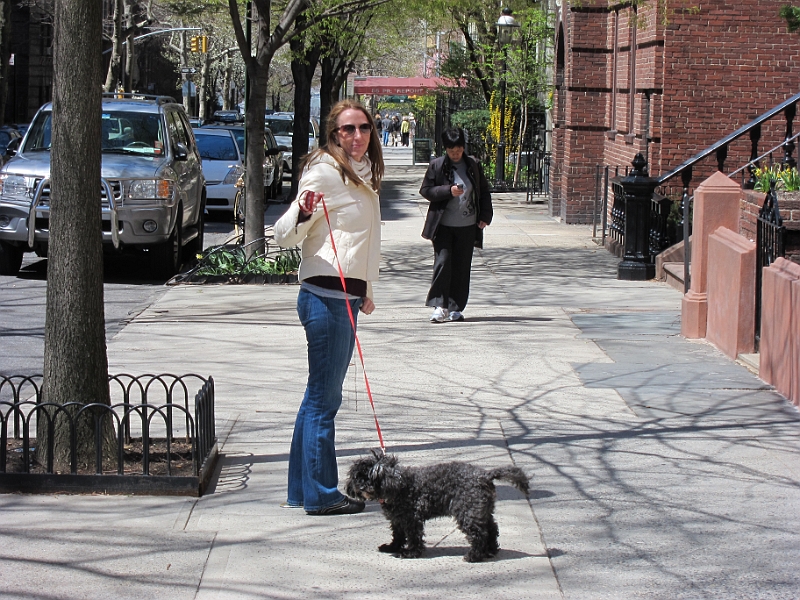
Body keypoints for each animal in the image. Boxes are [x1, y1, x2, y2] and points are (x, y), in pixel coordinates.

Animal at [346, 452, 528, 560]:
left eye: (372, 476)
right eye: (358, 476)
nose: (361, 487)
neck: (397, 485)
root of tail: (485, 475)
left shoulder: (411, 519)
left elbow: (413, 537)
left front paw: (410, 552)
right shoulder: (397, 520)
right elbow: (398, 535)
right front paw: (392, 547)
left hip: (468, 512)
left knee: (479, 534)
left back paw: (474, 556)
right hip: (481, 510)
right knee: (491, 529)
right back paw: (490, 551)